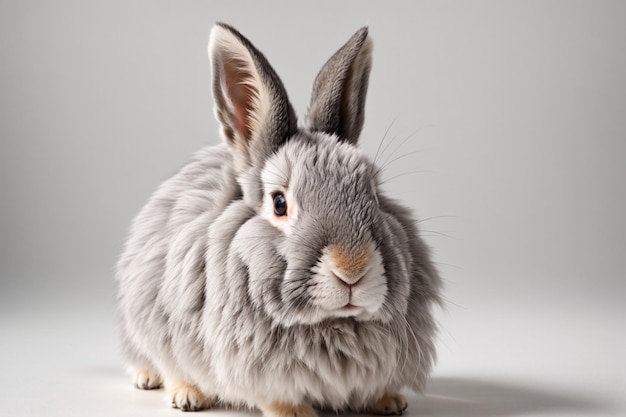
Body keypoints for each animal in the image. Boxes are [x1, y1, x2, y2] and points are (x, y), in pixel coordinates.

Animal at [116, 22, 438, 416]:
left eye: (374, 195)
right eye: (280, 203)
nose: (352, 271)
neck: (331, 323)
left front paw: (389, 401)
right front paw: (296, 412)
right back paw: (179, 391)